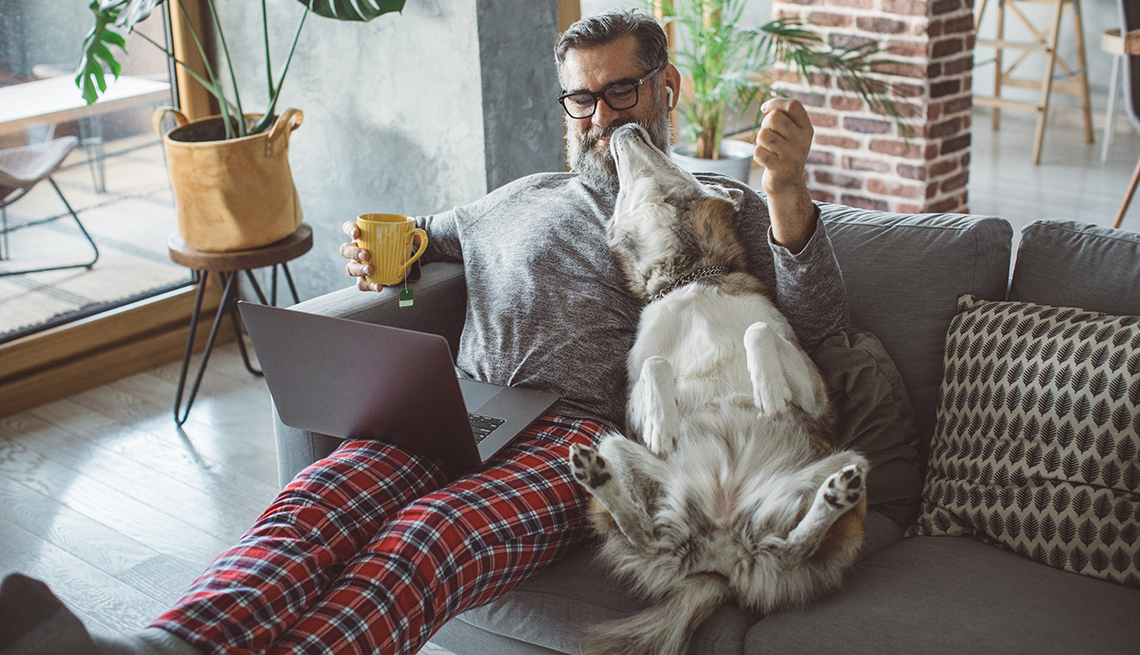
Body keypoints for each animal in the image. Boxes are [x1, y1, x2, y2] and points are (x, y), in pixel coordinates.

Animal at [565, 123, 866, 655]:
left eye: (672, 158)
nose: (627, 127)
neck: (689, 280)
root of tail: (721, 559)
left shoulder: (818, 395)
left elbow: (758, 333)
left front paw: (768, 391)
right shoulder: (630, 407)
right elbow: (656, 366)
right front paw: (663, 423)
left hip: (850, 463)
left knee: (793, 547)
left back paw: (832, 499)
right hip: (613, 444)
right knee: (644, 533)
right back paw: (598, 478)